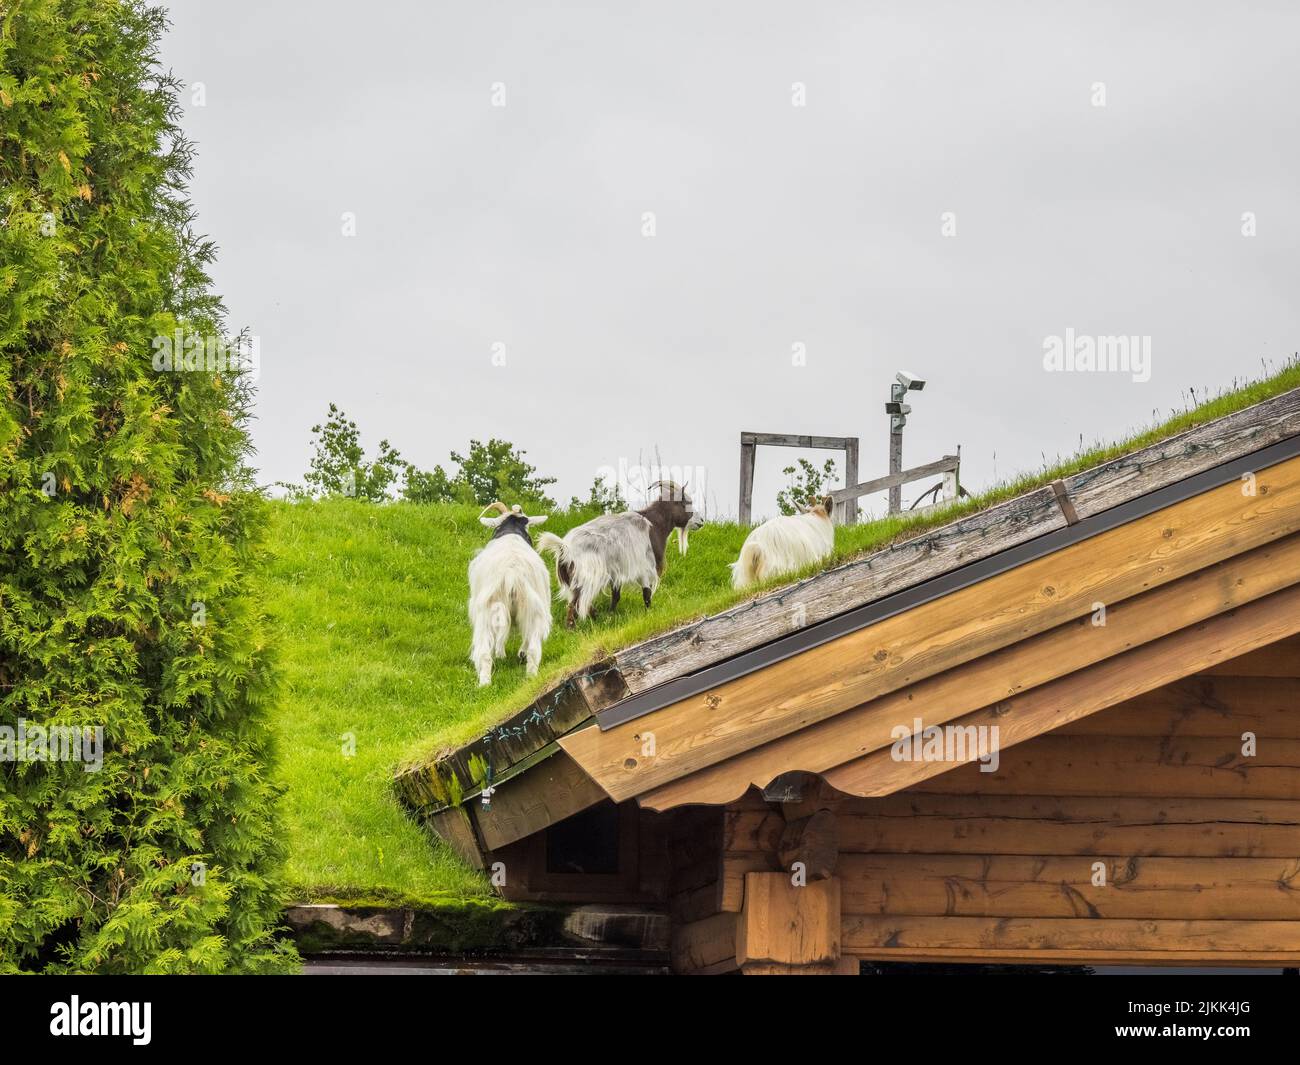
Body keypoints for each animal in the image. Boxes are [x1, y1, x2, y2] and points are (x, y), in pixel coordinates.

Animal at [465, 504, 551, 686]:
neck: (511, 532)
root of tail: (512, 573)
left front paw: (500, 654)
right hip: (534, 607)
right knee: (533, 649)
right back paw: (530, 677)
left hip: (487, 611)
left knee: (484, 652)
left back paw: (484, 684)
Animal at [538, 481, 702, 629]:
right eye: (687, 502)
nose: (701, 521)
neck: (654, 524)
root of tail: (564, 548)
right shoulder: (644, 567)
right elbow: (647, 594)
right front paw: (649, 614)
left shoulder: (616, 573)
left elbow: (616, 596)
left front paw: (610, 615)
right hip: (588, 577)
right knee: (576, 604)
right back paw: (577, 626)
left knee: (577, 602)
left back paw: (591, 618)